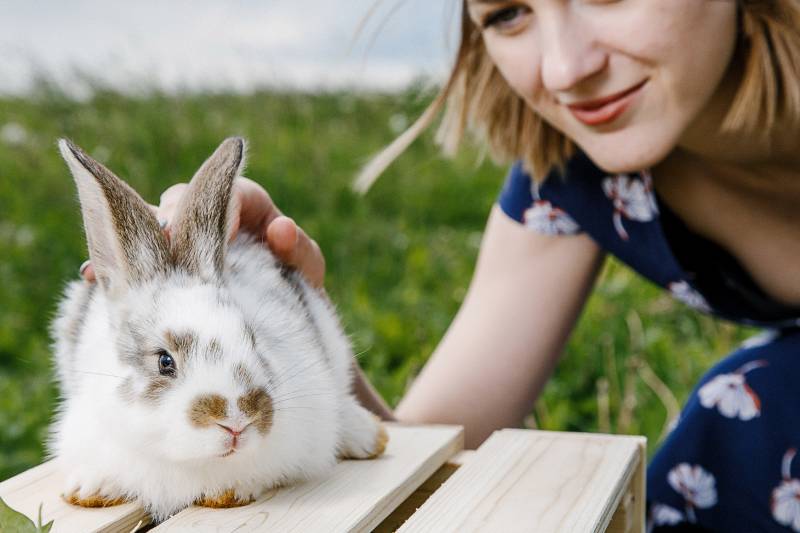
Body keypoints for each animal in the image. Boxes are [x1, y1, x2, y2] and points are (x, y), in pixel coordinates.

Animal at [48, 137, 388, 522]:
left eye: (253, 341)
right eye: (164, 361)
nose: (238, 421)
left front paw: (229, 492)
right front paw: (89, 490)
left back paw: (367, 436)